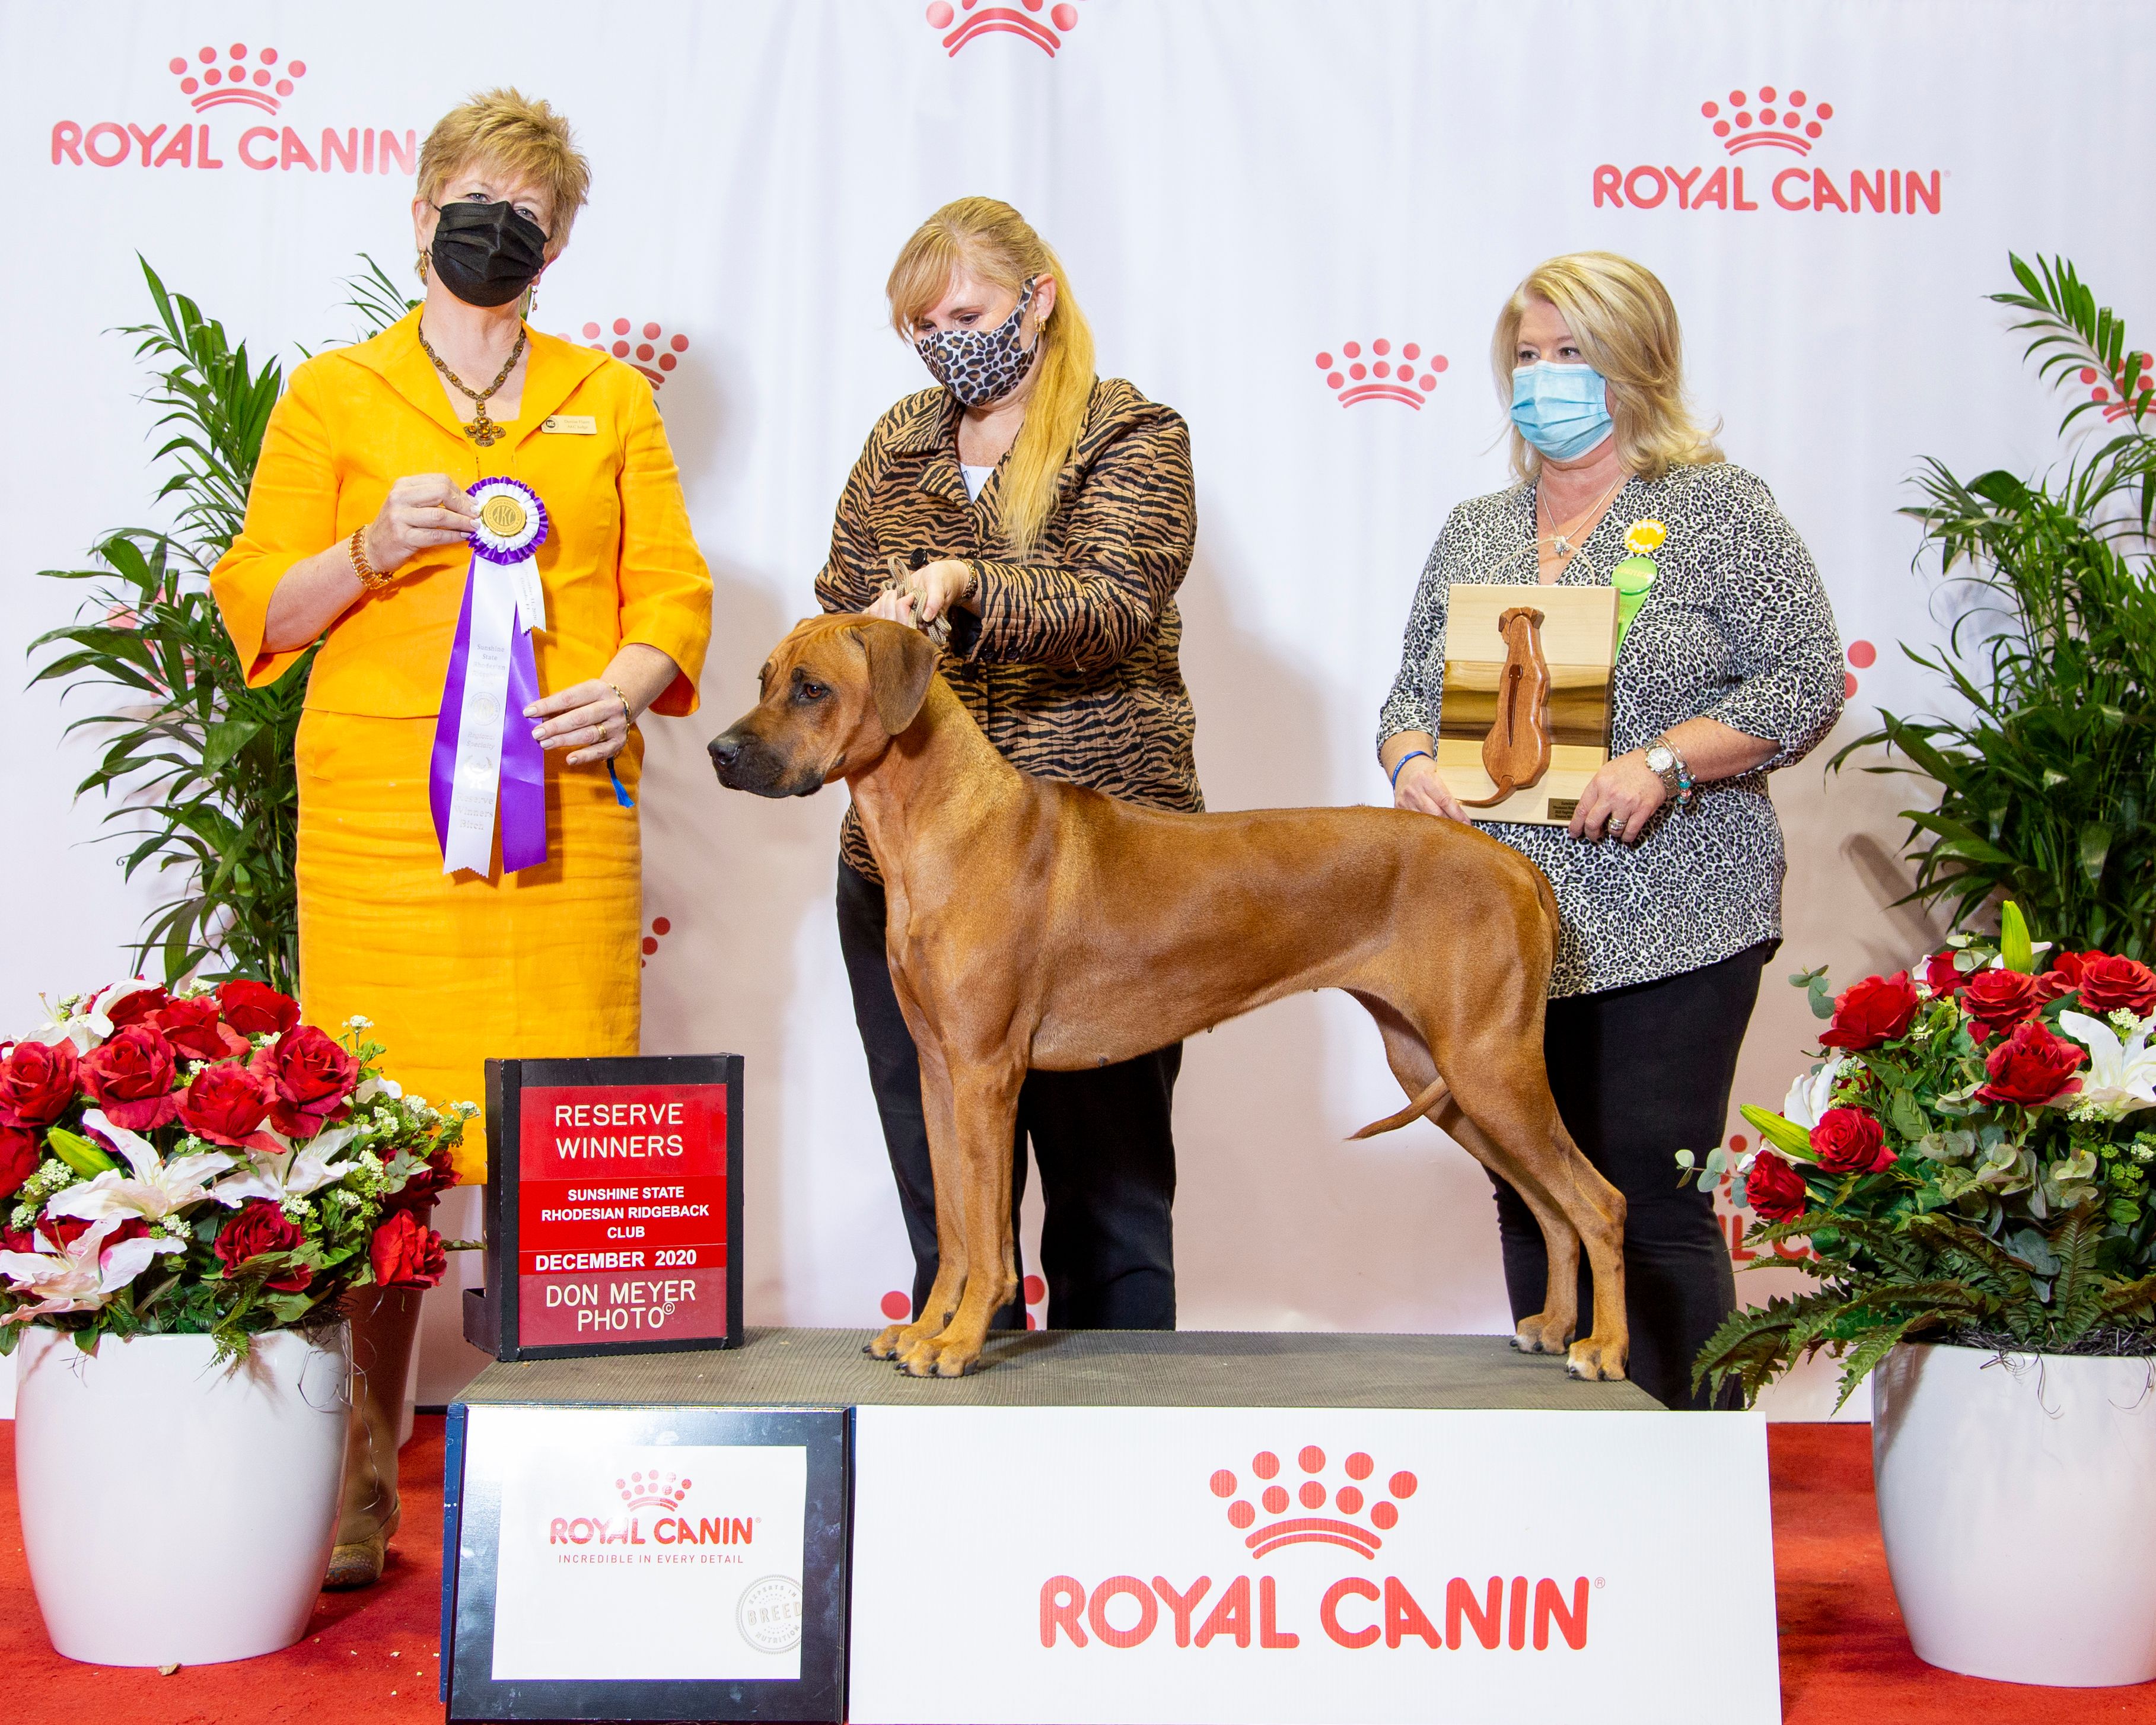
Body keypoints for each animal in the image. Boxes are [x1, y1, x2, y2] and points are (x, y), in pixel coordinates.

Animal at [711, 612, 1630, 1380]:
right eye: (763, 678)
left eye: (812, 688)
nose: (719, 751)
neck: (945, 824)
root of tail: (1516, 863)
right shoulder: (939, 1073)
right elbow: (953, 1227)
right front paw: (926, 1327)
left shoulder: (985, 1076)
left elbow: (988, 1236)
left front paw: (961, 1341)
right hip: (1438, 1072)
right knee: (1550, 1207)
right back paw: (1553, 1325)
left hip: (1487, 1064)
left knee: (1599, 1202)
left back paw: (1604, 1348)